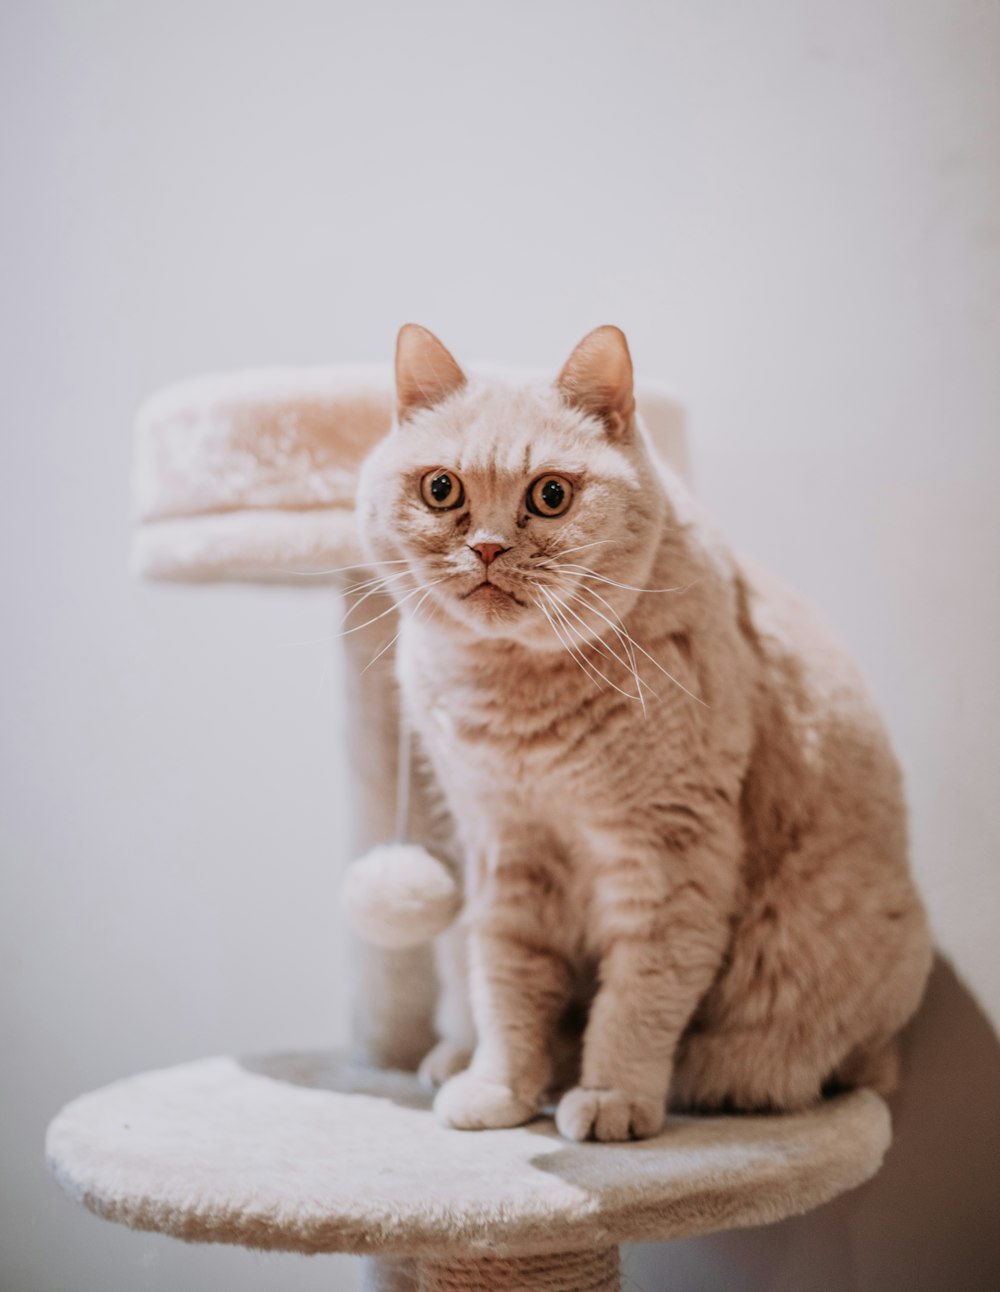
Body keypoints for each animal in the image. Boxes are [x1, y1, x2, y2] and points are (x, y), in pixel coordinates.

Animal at [356, 323, 935, 1142]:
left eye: (551, 495)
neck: (515, 692)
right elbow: (506, 982)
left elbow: (638, 995)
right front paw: (500, 1087)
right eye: (442, 489)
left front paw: (612, 1098)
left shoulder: (667, 851)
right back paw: (457, 1059)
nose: (489, 547)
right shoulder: (505, 849)